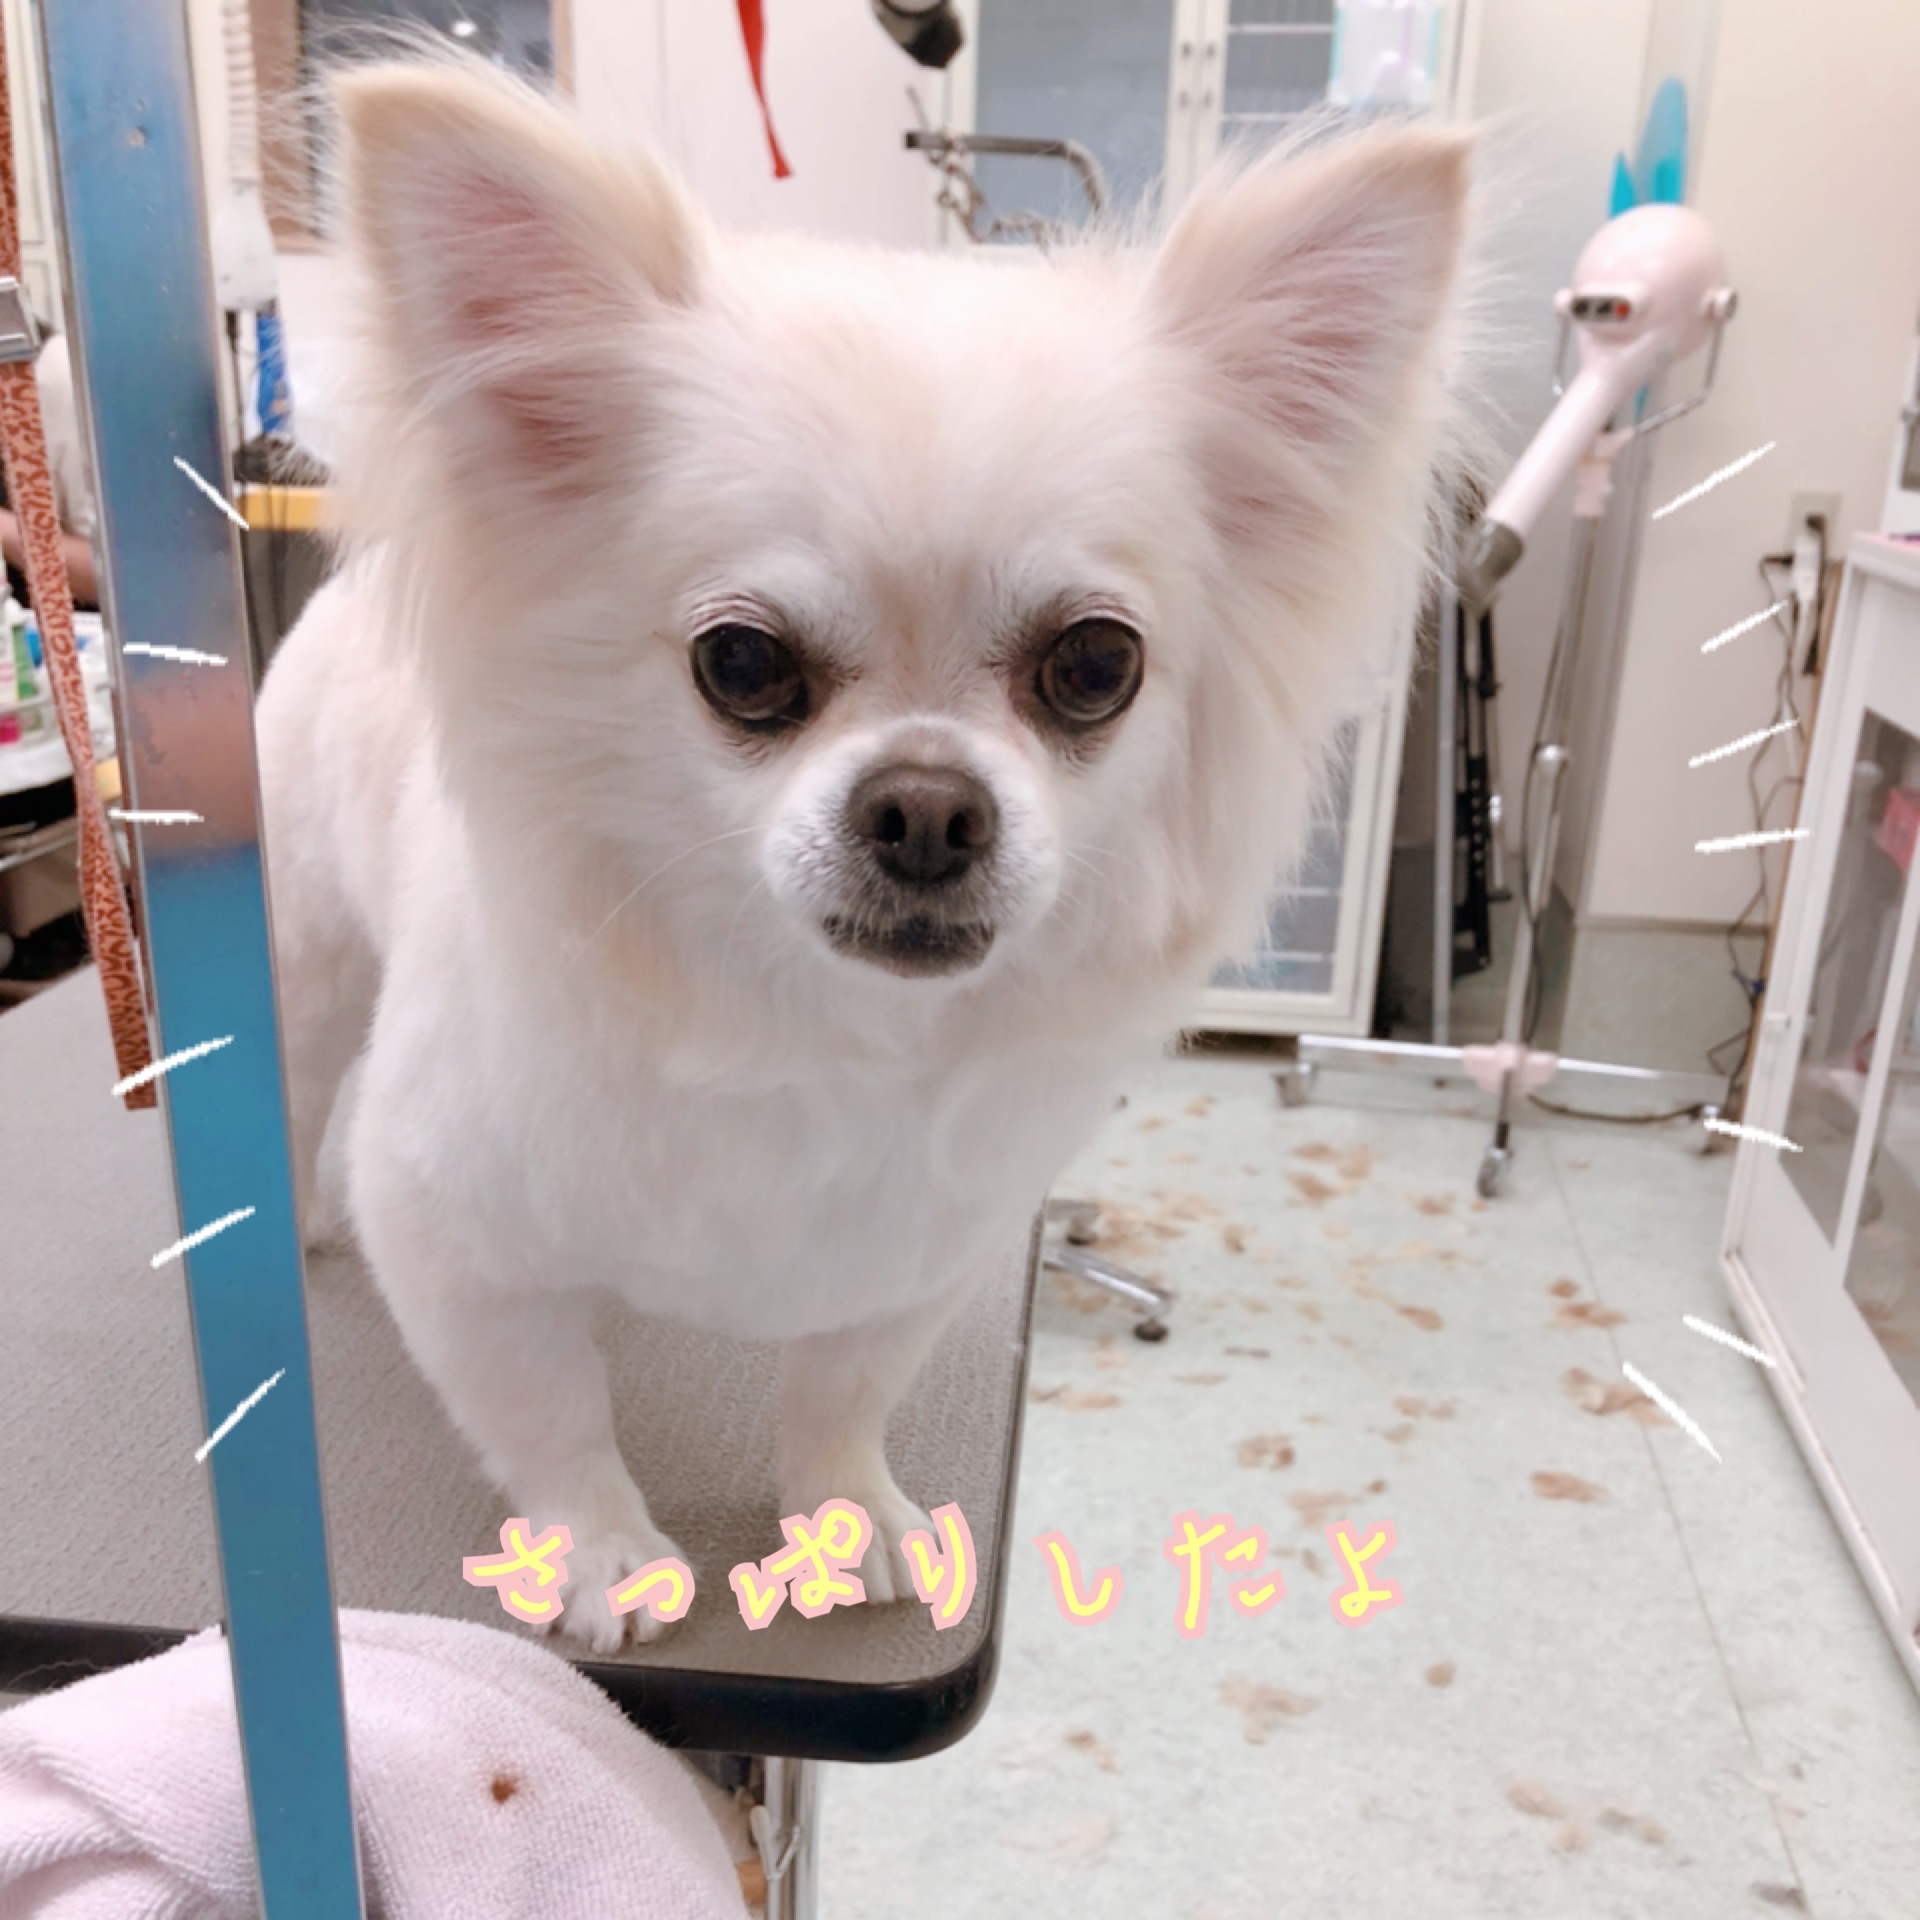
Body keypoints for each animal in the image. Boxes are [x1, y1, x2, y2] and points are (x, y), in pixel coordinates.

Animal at [256, 59, 1474, 1652]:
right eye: (741, 663)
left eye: (1097, 665)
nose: (928, 807)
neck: (820, 1029)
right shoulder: (457, 1240)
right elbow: (552, 1416)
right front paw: (602, 1551)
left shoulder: (919, 1261)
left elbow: (839, 1397)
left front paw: (849, 1525)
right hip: (311, 962)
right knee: (293, 1091)